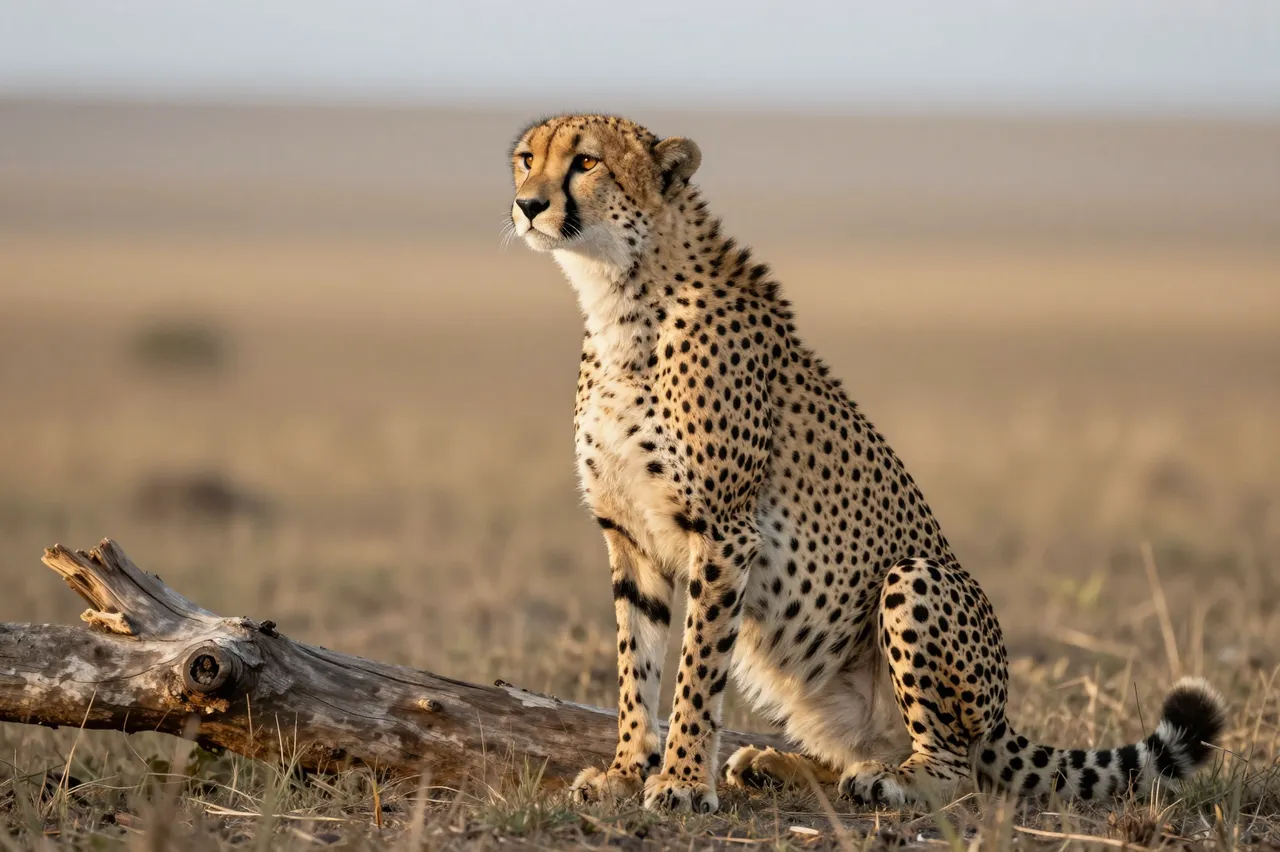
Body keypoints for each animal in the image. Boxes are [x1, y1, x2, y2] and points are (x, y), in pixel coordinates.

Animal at [506, 113, 1227, 815]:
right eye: (525, 159)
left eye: (587, 162)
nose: (528, 205)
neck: (619, 297)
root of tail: (1000, 719)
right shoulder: (629, 535)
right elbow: (637, 667)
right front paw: (626, 771)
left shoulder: (724, 530)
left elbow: (695, 670)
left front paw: (681, 779)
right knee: (855, 750)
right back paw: (775, 764)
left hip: (915, 579)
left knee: (956, 770)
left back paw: (895, 781)